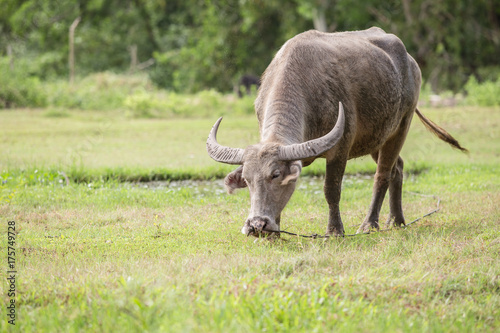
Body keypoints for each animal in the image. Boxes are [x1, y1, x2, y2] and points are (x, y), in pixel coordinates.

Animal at [205, 27, 466, 236]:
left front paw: (334, 231)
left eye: (275, 175)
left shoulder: (340, 149)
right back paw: (396, 220)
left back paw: (370, 224)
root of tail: (410, 61)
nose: (256, 225)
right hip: (377, 136)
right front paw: (274, 231)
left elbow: (331, 190)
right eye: (247, 180)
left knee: (382, 174)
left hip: (403, 123)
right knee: (397, 168)